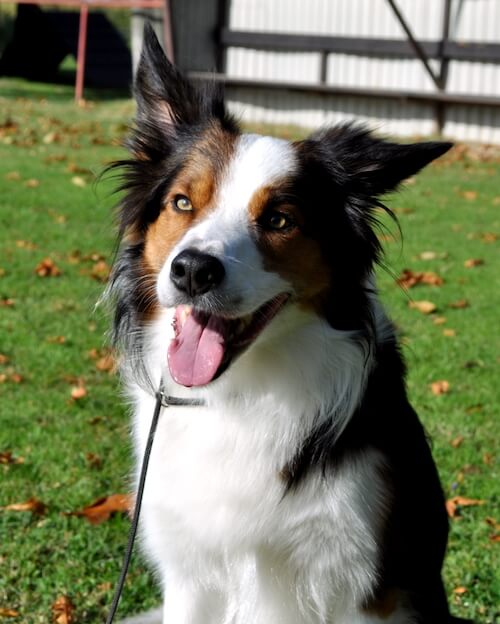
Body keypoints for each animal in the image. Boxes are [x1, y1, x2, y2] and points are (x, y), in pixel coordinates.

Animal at [110, 24, 460, 624]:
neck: (243, 393)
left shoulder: (365, 588)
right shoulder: (189, 572)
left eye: (279, 220)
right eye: (182, 203)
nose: (192, 269)